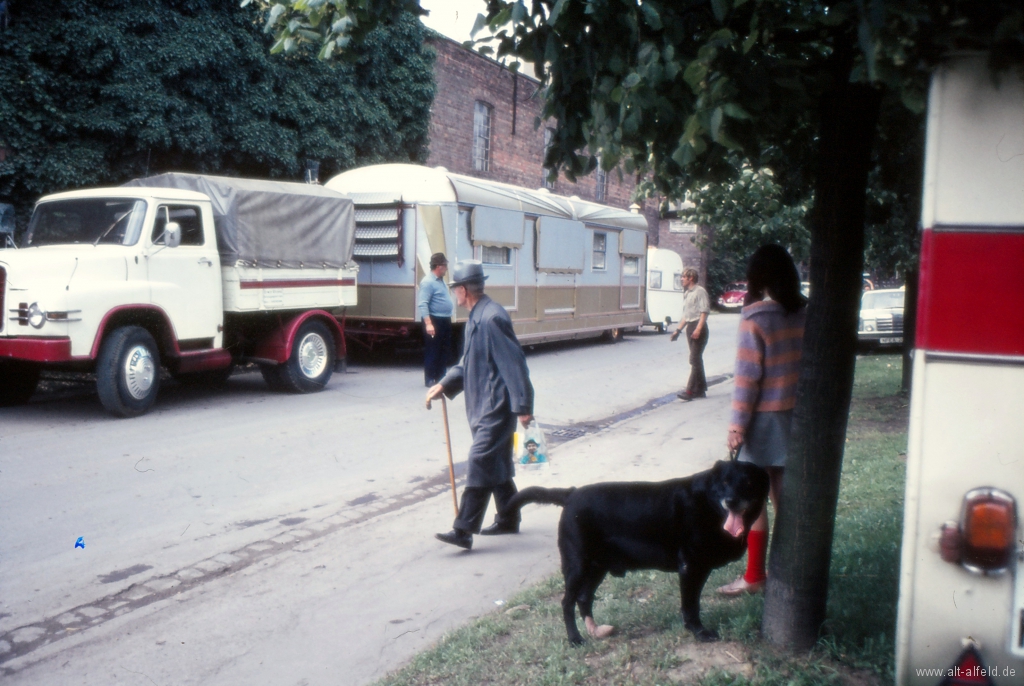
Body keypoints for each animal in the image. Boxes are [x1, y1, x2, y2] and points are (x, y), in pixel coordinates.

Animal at [503, 462, 770, 647]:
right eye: (724, 483)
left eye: (748, 483)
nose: (732, 500)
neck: (709, 505)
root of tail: (571, 493)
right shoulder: (690, 566)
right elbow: (691, 605)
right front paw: (699, 632)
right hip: (577, 564)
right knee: (567, 602)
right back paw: (575, 638)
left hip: (597, 566)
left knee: (584, 598)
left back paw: (595, 630)